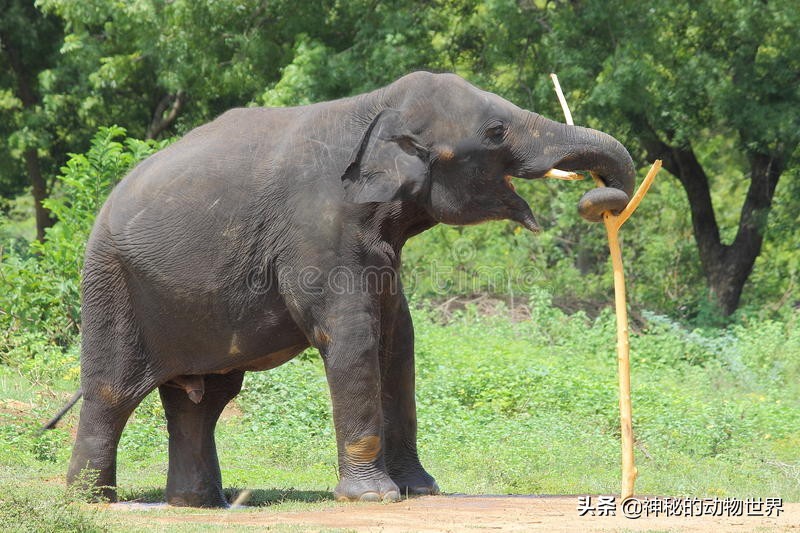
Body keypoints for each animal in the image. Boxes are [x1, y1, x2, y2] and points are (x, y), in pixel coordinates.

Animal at [65, 70, 636, 508]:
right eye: (496, 131)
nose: (598, 200)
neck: (377, 107)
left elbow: (399, 342)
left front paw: (420, 492)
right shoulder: (317, 228)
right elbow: (352, 335)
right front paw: (375, 498)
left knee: (203, 400)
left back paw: (199, 504)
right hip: (111, 280)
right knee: (112, 391)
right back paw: (91, 502)